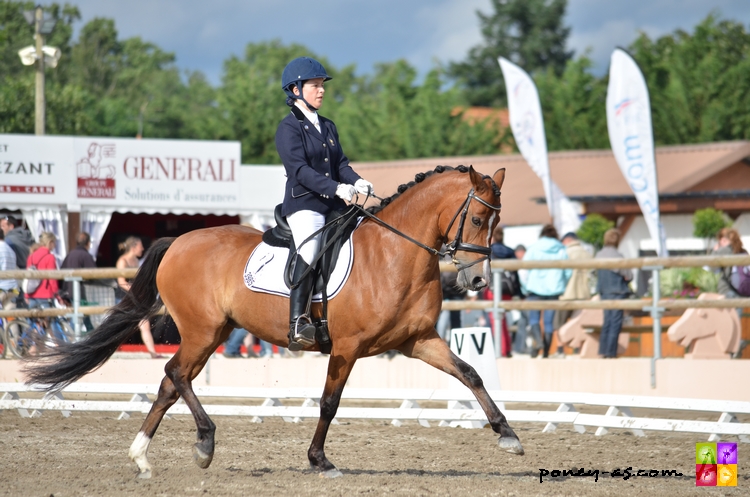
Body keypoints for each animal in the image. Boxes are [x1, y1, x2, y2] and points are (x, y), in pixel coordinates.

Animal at [25, 165, 528, 478]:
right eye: (478, 218)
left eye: (498, 221)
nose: (479, 280)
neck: (394, 254)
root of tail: (179, 241)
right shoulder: (347, 347)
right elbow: (329, 403)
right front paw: (320, 460)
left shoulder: (418, 341)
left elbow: (471, 373)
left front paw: (508, 435)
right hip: (203, 331)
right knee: (174, 373)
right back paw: (204, 442)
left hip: (216, 332)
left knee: (171, 382)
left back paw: (143, 458)